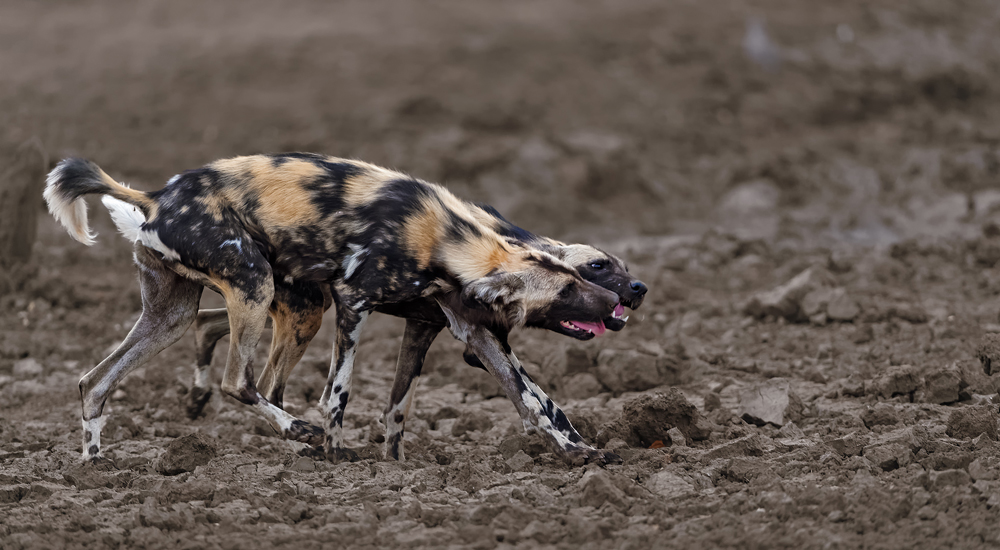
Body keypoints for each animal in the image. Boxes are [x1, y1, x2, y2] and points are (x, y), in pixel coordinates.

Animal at [187, 207, 648, 462]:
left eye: (623, 267)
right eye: (597, 267)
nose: (637, 288)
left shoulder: (427, 329)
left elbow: (397, 408)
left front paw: (396, 464)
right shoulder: (479, 338)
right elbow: (536, 401)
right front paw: (577, 452)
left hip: (294, 309)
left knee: (207, 322)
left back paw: (198, 395)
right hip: (305, 312)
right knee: (260, 378)